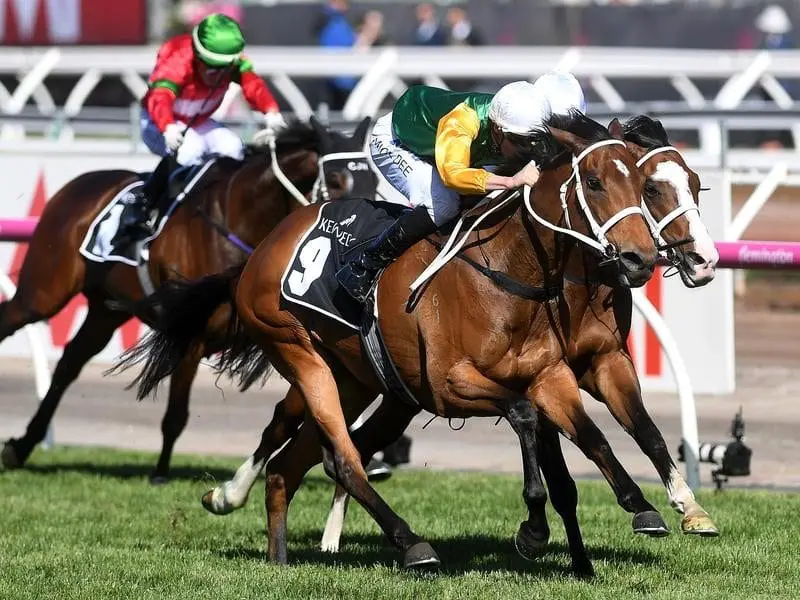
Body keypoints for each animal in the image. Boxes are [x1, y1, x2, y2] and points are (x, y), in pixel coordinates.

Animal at [0, 117, 376, 482]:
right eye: (337, 180)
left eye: (373, 180)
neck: (237, 219)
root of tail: (77, 186)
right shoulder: (194, 336)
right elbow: (176, 413)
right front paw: (160, 473)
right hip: (43, 292)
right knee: (15, 319)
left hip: (105, 311)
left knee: (69, 363)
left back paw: (23, 445)